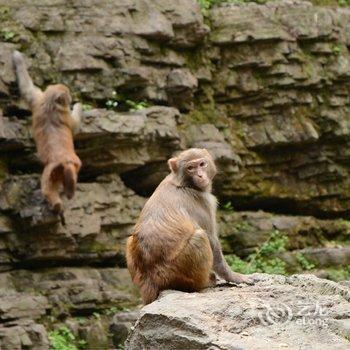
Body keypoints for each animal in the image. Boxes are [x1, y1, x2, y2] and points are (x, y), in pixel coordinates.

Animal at [12, 50, 82, 220]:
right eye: (67, 96)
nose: (71, 100)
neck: (50, 104)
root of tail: (64, 162)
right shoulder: (64, 113)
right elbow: (75, 126)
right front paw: (79, 106)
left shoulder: (37, 98)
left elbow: (26, 87)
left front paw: (17, 58)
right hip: (70, 165)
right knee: (53, 186)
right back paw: (62, 200)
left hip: (53, 171)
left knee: (48, 189)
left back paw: (57, 204)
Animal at [126, 148, 254, 304]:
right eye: (190, 168)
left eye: (202, 164)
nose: (200, 175)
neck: (184, 184)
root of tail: (151, 281)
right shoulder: (204, 203)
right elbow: (212, 241)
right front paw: (234, 276)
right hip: (176, 272)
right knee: (200, 237)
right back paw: (205, 282)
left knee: (129, 239)